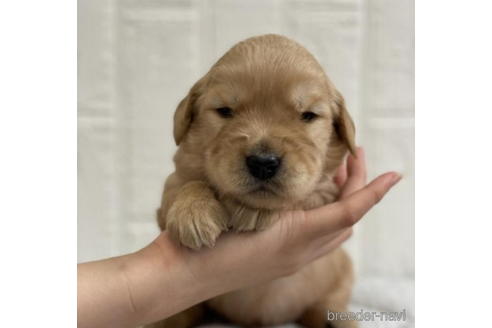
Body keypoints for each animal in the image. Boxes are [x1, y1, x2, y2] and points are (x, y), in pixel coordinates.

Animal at [150, 34, 358, 328]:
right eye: (225, 111)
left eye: (308, 115)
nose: (263, 163)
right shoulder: (174, 184)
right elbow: (188, 184)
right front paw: (193, 213)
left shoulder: (327, 191)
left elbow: (299, 196)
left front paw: (255, 208)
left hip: (342, 269)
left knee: (328, 302)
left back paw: (334, 319)